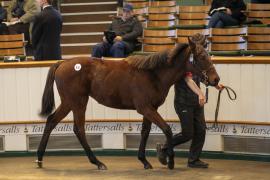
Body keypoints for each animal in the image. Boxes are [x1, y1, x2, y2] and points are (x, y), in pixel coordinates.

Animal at [37, 34, 220, 170]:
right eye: (201, 56)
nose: (216, 79)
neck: (153, 74)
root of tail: (63, 62)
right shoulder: (145, 108)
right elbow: (167, 129)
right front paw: (169, 161)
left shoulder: (150, 109)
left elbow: (145, 132)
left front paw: (145, 161)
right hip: (77, 102)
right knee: (78, 129)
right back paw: (98, 162)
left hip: (69, 103)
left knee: (51, 121)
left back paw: (40, 159)